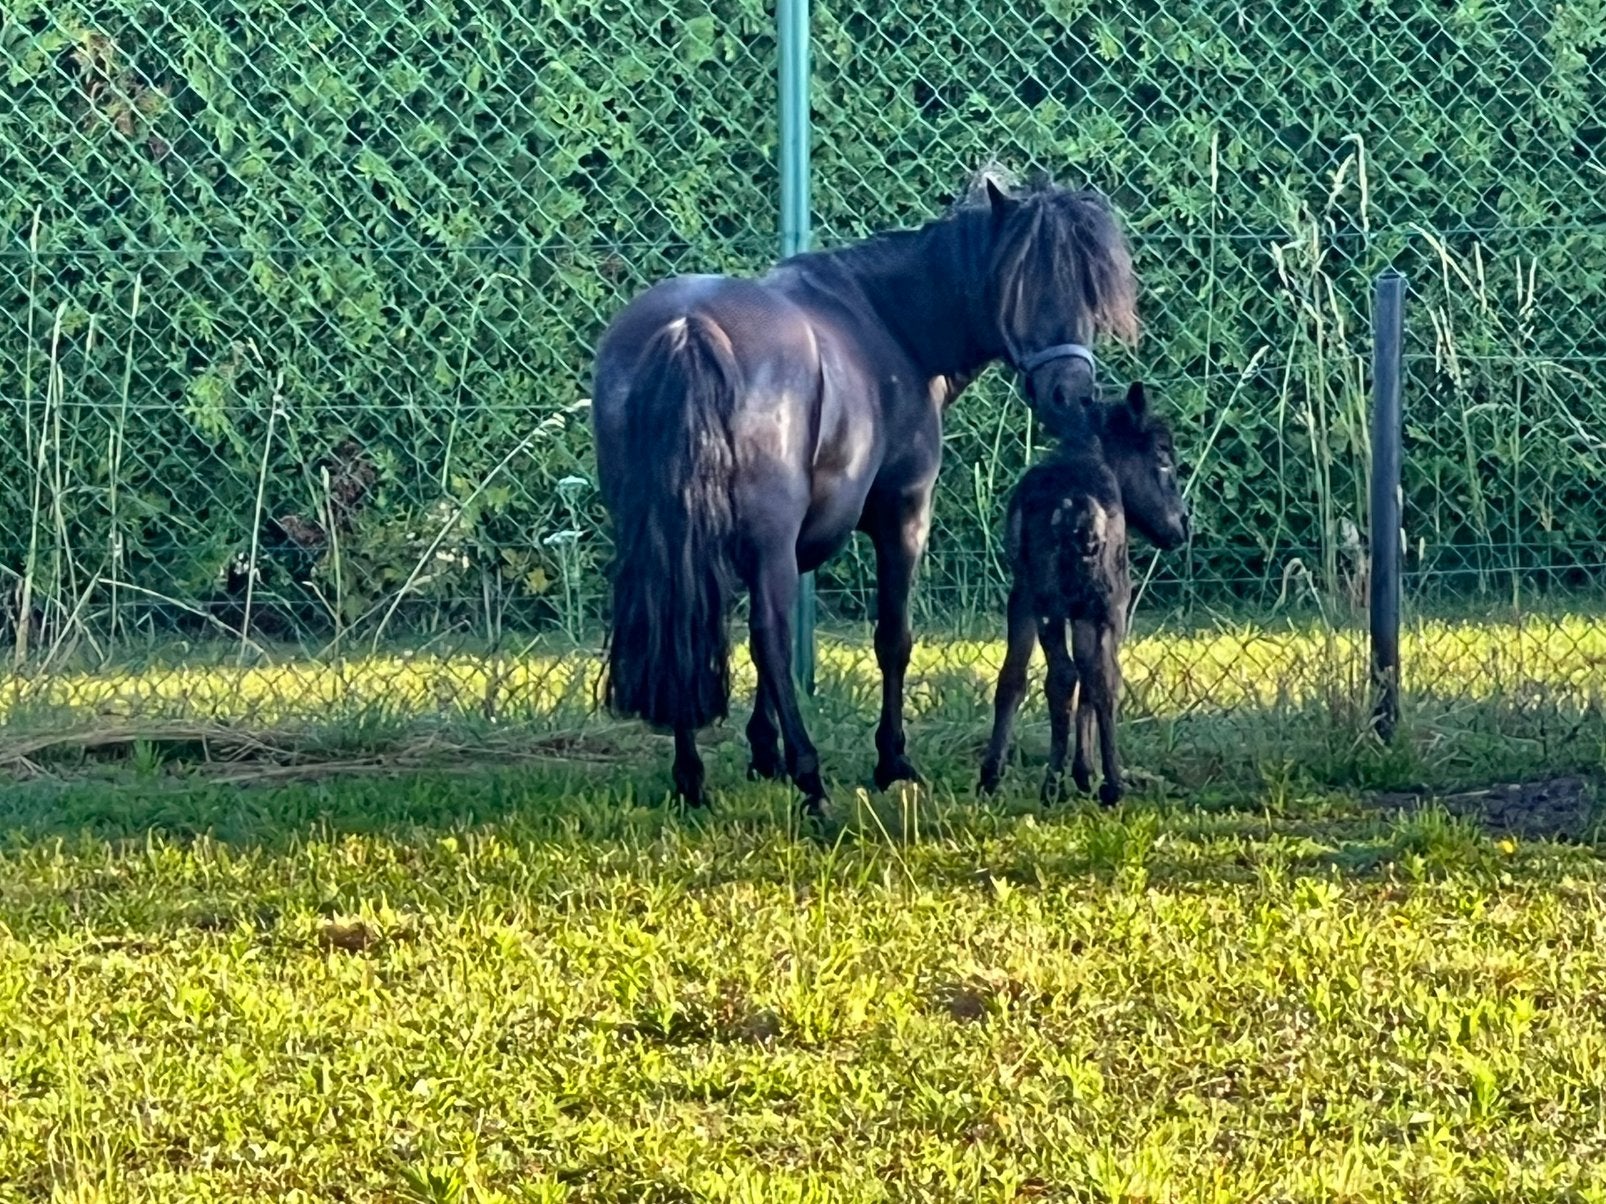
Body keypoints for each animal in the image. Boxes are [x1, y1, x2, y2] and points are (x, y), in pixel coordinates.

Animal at [590, 169, 1139, 815]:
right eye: (1019, 282)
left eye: (1085, 291)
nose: (1070, 396)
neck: (890, 322)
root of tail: (688, 327)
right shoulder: (901, 514)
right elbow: (891, 638)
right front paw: (891, 761)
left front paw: (762, 752)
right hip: (768, 535)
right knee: (771, 638)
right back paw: (811, 780)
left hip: (668, 537)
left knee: (681, 625)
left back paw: (692, 779)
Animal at [978, 382, 1190, 806]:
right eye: (1162, 455)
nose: (1183, 524)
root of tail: (1080, 508)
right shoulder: (1093, 606)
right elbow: (1088, 679)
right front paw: (1085, 771)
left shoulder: (1031, 596)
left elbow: (1014, 677)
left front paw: (996, 773)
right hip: (1101, 598)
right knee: (1091, 677)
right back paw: (1099, 783)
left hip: (1052, 597)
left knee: (1062, 676)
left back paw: (1051, 780)